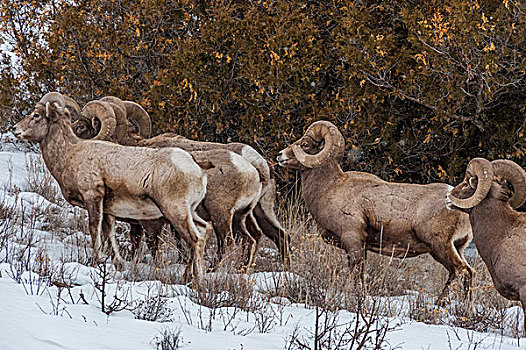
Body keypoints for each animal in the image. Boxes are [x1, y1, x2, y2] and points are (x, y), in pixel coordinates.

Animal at [11, 92, 210, 278]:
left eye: (36, 115)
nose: (15, 129)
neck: (68, 154)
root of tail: (197, 171)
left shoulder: (93, 197)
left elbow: (94, 228)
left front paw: (96, 260)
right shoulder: (108, 210)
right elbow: (109, 233)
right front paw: (117, 263)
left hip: (175, 212)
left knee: (196, 240)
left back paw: (197, 280)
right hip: (190, 212)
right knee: (204, 231)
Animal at [73, 98, 292, 266]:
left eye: (82, 125)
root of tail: (256, 164)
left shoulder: (152, 221)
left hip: (222, 215)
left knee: (229, 242)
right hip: (257, 212)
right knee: (271, 236)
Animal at [278, 120, 476, 298]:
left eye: (305, 144)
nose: (280, 155)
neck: (330, 188)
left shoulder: (353, 241)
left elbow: (355, 275)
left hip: (440, 247)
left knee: (459, 271)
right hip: (457, 247)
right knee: (469, 273)